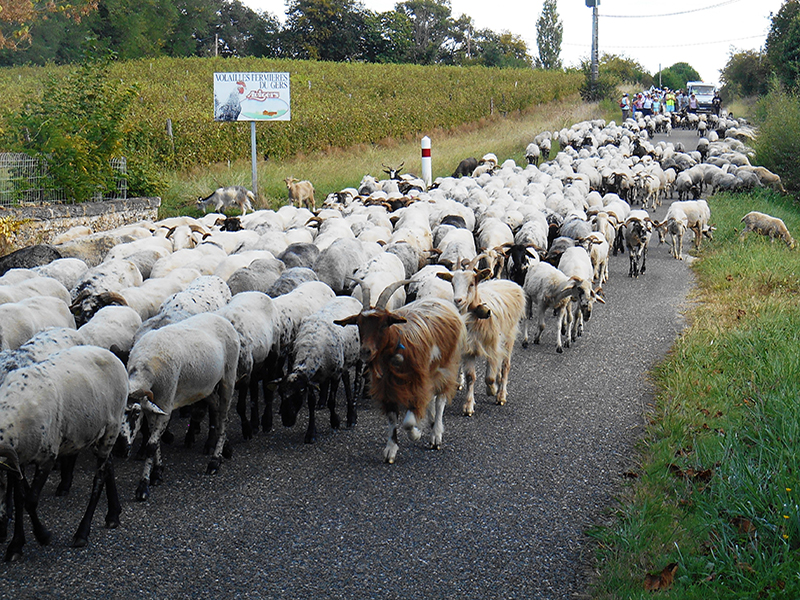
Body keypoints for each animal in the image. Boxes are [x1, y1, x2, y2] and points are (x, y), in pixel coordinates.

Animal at [0, 346, 129, 560]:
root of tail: (109, 353)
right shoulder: (18, 461)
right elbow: (19, 500)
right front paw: (15, 545)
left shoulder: (47, 457)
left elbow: (30, 501)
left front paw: (43, 535)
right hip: (95, 431)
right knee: (109, 464)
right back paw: (113, 515)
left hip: (112, 426)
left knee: (99, 477)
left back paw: (82, 533)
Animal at [125, 313, 241, 501]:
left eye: (135, 413)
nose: (119, 450)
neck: (145, 366)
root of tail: (221, 318)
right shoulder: (153, 406)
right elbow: (154, 441)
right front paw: (158, 472)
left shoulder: (166, 402)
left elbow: (151, 445)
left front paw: (143, 486)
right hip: (205, 386)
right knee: (216, 407)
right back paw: (227, 447)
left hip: (228, 377)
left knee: (224, 415)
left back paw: (215, 460)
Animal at [335, 283, 465, 464]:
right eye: (359, 324)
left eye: (384, 324)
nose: (366, 351)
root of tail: (441, 302)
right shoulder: (387, 386)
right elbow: (392, 417)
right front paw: (391, 449)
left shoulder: (417, 382)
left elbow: (408, 422)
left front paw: (416, 433)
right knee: (432, 398)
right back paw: (431, 421)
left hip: (445, 366)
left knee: (440, 400)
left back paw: (436, 435)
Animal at [437, 265, 525, 416]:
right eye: (452, 284)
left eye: (471, 284)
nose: (458, 300)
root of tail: (507, 281)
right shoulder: (469, 349)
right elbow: (470, 377)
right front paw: (468, 406)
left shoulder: (494, 346)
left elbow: (489, 378)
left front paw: (492, 390)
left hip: (509, 336)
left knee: (505, 366)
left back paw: (501, 394)